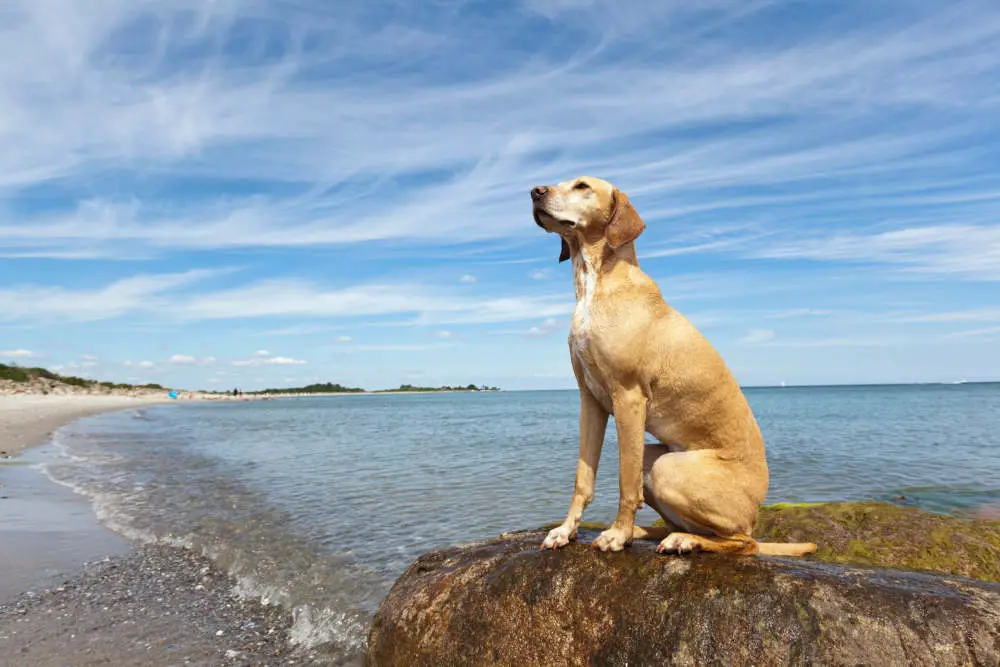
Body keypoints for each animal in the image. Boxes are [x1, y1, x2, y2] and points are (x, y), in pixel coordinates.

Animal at [528, 177, 816, 560]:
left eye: (582, 186)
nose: (535, 191)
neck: (596, 283)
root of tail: (756, 512)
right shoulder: (590, 400)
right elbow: (583, 478)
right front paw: (565, 530)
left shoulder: (628, 398)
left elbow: (625, 481)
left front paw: (617, 535)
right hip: (654, 460)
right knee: (683, 524)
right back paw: (652, 533)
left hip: (669, 469)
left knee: (742, 542)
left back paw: (682, 540)